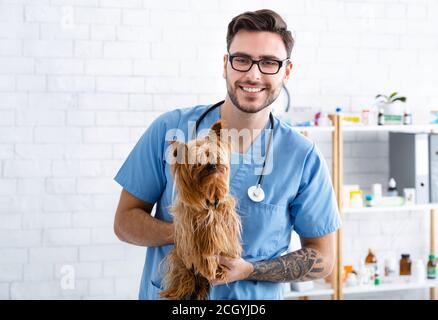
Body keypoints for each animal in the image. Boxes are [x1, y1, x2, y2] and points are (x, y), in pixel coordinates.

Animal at [161, 120, 243, 300]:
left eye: (214, 155)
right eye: (197, 163)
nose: (212, 165)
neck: (210, 194)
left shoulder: (224, 216)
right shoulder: (190, 225)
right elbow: (202, 247)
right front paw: (208, 261)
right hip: (179, 258)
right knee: (185, 277)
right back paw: (174, 291)